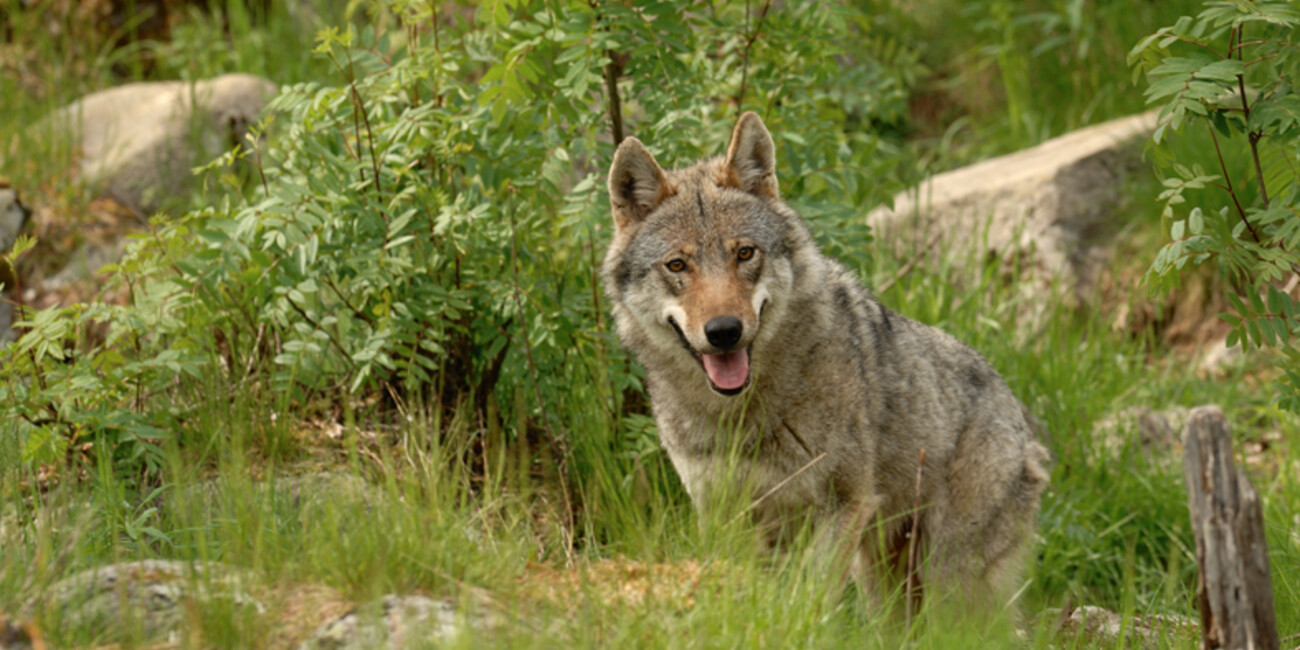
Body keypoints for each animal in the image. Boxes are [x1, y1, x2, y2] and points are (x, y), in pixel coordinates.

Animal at [601, 112, 1050, 613]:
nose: (724, 331)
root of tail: (1018, 412)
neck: (741, 417)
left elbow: (808, 602)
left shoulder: (844, 505)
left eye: (745, 253)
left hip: (948, 582)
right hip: (884, 580)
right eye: (677, 266)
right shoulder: (722, 516)